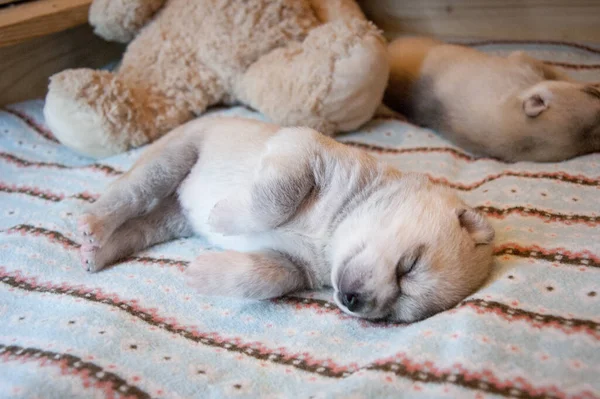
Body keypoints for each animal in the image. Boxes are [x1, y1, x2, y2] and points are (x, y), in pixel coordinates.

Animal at [77, 117, 494, 324]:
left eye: (397, 312)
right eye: (409, 267)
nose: (354, 302)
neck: (330, 238)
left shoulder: (290, 264)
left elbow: (259, 278)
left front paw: (201, 273)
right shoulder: (304, 154)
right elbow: (274, 198)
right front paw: (223, 215)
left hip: (171, 220)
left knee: (138, 227)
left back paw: (95, 253)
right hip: (174, 158)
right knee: (128, 193)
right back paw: (93, 224)